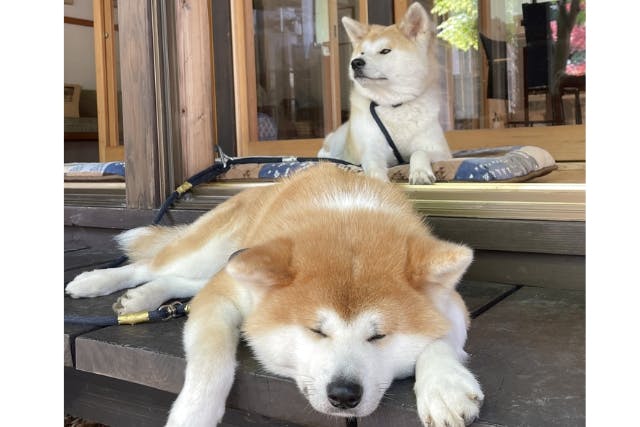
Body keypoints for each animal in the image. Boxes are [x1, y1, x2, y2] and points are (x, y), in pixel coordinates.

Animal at [66, 165, 484, 427]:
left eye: (378, 335)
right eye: (317, 331)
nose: (344, 394)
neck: (347, 216)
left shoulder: (452, 306)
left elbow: (440, 342)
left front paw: (444, 386)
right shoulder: (225, 295)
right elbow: (212, 361)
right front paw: (193, 415)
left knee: (180, 281)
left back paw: (141, 300)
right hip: (215, 252)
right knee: (151, 266)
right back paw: (97, 282)